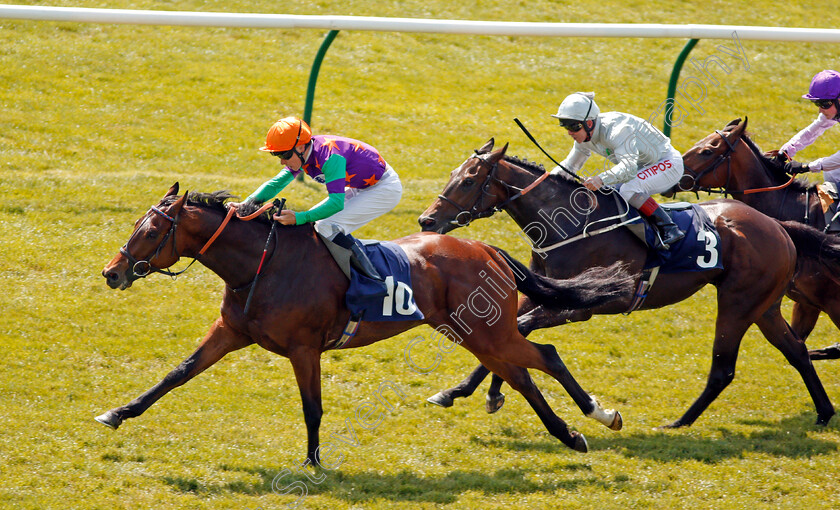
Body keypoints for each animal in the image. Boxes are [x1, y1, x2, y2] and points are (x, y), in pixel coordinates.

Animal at [98, 183, 632, 462]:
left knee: (545, 356)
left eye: (151, 231)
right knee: (521, 375)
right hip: (474, 333)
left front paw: (312, 461)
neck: (262, 263)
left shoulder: (304, 348)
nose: (112, 272)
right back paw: (567, 433)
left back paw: (598, 416)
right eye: (137, 225)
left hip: (488, 330)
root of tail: (484, 247)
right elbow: (178, 373)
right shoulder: (231, 332)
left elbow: (312, 407)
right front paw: (118, 412)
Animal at [416, 137, 836, 428]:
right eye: (453, 175)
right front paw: (465, 391)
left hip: (738, 302)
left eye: (469, 180)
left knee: (724, 369)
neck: (571, 224)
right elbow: (509, 331)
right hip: (764, 305)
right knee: (796, 350)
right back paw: (824, 412)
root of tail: (778, 225)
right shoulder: (540, 292)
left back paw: (679, 423)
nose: (427, 221)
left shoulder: (585, 306)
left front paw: (487, 391)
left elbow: (520, 330)